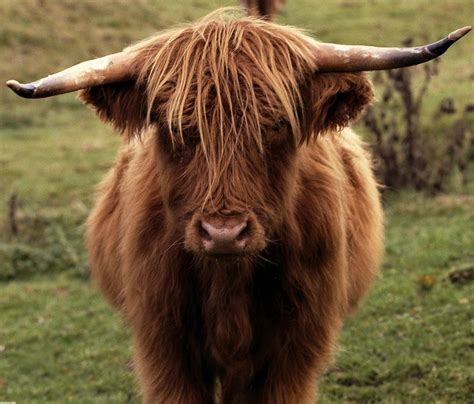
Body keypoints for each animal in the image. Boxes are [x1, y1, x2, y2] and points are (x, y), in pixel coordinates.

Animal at [8, 7, 470, 402]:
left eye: (278, 123)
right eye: (173, 127)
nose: (224, 233)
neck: (228, 280)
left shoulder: (295, 352)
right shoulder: (165, 349)